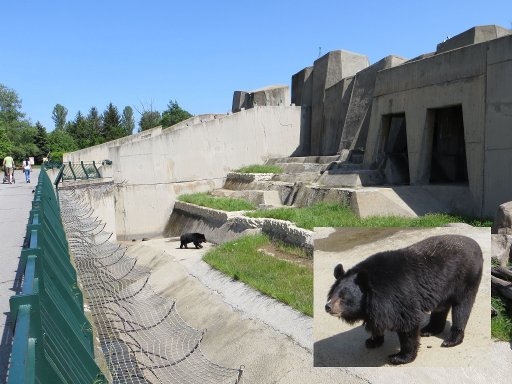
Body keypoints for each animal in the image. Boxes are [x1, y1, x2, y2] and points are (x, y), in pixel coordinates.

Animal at [326, 236, 482, 364]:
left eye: (343, 297)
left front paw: (399, 357)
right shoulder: (376, 307)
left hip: (466, 279)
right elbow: (376, 321)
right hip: (443, 287)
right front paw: (372, 341)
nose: (328, 307)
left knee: (462, 308)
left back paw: (451, 340)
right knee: (441, 308)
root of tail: (476, 245)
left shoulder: (398, 297)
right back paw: (429, 330)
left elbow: (407, 324)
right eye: (332, 294)